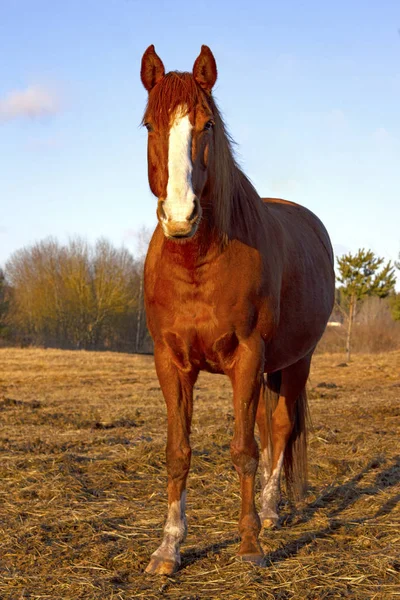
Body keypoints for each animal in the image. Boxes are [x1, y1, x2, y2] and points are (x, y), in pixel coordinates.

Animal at [141, 44, 334, 576]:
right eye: (149, 124)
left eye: (206, 125)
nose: (180, 216)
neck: (198, 264)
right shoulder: (170, 363)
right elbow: (178, 452)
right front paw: (168, 548)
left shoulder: (247, 358)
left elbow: (245, 449)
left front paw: (249, 544)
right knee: (272, 430)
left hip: (297, 361)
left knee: (281, 429)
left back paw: (268, 512)